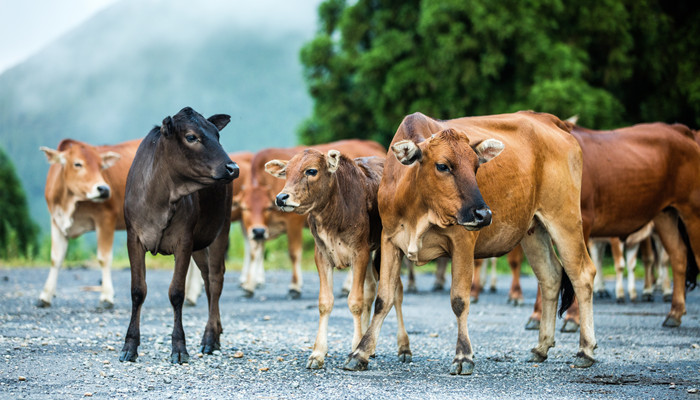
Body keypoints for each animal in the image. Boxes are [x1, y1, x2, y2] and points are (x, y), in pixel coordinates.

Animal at [39, 139, 142, 308]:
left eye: (101, 166)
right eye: (77, 164)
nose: (104, 189)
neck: (69, 202)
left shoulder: (106, 218)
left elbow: (104, 258)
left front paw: (106, 297)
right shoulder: (56, 220)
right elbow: (56, 258)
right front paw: (45, 295)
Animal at [119, 108, 239, 364]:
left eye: (217, 135)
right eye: (191, 137)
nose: (233, 167)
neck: (161, 198)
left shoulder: (184, 240)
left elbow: (176, 293)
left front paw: (179, 348)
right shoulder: (133, 237)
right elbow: (137, 291)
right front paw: (129, 347)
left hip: (220, 229)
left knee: (216, 279)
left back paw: (209, 338)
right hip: (200, 244)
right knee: (207, 279)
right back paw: (217, 333)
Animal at [239, 139, 382, 298]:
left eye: (267, 207)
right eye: (244, 208)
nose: (281, 198)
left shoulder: (293, 222)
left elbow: (294, 253)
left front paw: (294, 286)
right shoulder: (257, 229)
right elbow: (254, 252)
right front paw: (249, 286)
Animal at [344, 110, 596, 376]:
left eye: (476, 167)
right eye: (442, 166)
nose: (483, 214)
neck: (418, 208)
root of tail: (551, 121)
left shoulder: (462, 241)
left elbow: (459, 300)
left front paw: (463, 355)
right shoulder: (389, 241)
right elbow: (383, 299)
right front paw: (360, 352)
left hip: (565, 219)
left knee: (582, 275)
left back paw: (585, 349)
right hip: (534, 230)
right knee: (550, 276)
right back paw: (541, 347)